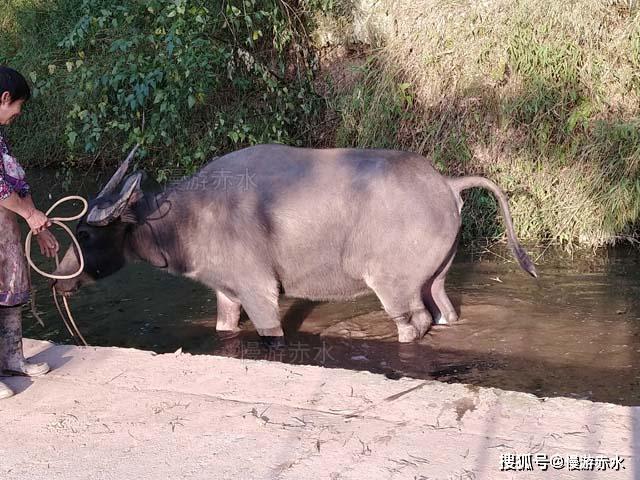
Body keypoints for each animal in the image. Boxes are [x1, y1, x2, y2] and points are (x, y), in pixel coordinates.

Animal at [53, 144, 536, 346]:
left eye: (84, 234)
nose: (59, 281)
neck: (186, 218)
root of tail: (446, 183)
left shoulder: (259, 291)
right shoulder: (227, 293)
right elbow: (225, 329)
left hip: (393, 284)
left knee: (413, 323)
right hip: (436, 278)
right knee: (445, 312)